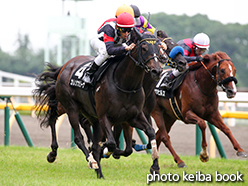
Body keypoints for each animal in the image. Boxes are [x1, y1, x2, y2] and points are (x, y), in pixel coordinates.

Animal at [34, 28, 164, 178]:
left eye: (158, 48)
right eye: (144, 48)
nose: (157, 71)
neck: (125, 84)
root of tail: (65, 66)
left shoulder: (133, 117)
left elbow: (149, 133)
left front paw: (155, 166)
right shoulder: (105, 117)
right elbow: (111, 143)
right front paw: (107, 151)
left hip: (90, 114)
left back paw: (98, 171)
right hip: (70, 107)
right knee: (71, 132)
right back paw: (85, 160)